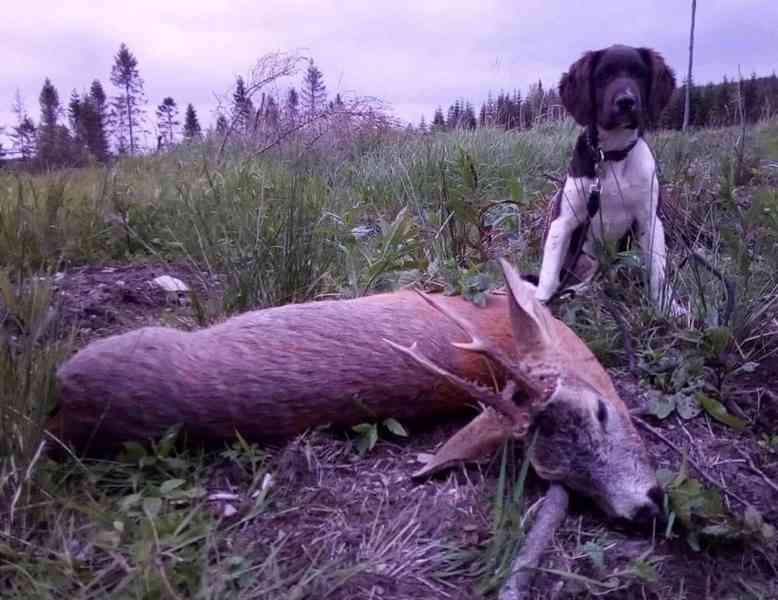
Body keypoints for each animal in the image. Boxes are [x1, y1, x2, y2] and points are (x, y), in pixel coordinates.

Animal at [532, 44, 672, 310]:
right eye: (603, 76)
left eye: (640, 74)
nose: (626, 101)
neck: (612, 156)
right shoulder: (563, 220)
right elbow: (549, 274)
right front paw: (538, 305)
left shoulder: (650, 219)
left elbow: (658, 272)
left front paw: (668, 309)